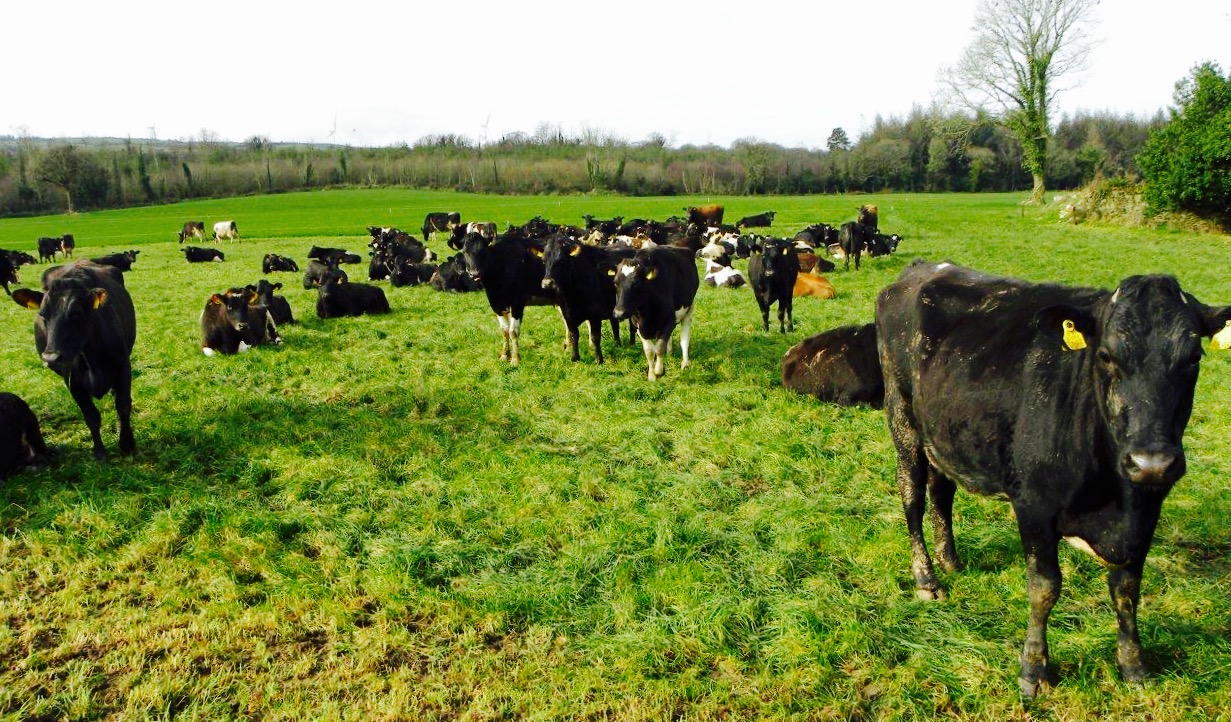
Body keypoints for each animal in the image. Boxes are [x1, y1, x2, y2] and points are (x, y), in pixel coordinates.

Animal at [11, 260, 137, 460]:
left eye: (76, 313)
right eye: (43, 314)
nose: (50, 357)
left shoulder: (123, 366)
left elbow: (123, 406)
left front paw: (127, 445)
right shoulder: (72, 380)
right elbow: (91, 416)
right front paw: (99, 452)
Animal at [462, 231, 558, 365]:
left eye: (483, 251)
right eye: (464, 252)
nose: (474, 274)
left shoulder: (517, 302)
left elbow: (513, 331)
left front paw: (515, 359)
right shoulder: (496, 304)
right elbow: (504, 330)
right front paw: (504, 355)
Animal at [539, 235, 637, 364]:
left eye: (561, 261)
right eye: (543, 261)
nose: (547, 283)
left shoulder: (594, 315)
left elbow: (595, 337)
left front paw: (599, 360)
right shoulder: (567, 315)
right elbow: (574, 335)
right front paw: (575, 357)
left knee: (632, 326)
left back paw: (632, 344)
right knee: (614, 324)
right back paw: (617, 344)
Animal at [612, 246, 700, 381]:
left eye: (636, 283)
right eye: (615, 282)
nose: (619, 313)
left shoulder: (669, 320)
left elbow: (659, 348)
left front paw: (658, 371)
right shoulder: (638, 324)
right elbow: (649, 351)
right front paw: (651, 375)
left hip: (689, 309)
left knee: (684, 338)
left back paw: (685, 364)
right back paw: (669, 354)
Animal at [875, 260, 1231, 696]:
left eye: (1194, 357)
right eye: (1107, 356)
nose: (1151, 462)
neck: (1115, 498)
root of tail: (920, 269)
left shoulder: (1147, 511)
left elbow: (1127, 589)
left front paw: (1133, 665)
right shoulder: (1032, 504)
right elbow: (1044, 589)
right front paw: (1033, 670)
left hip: (945, 434)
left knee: (942, 493)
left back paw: (951, 561)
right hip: (903, 419)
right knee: (912, 498)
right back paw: (926, 578)